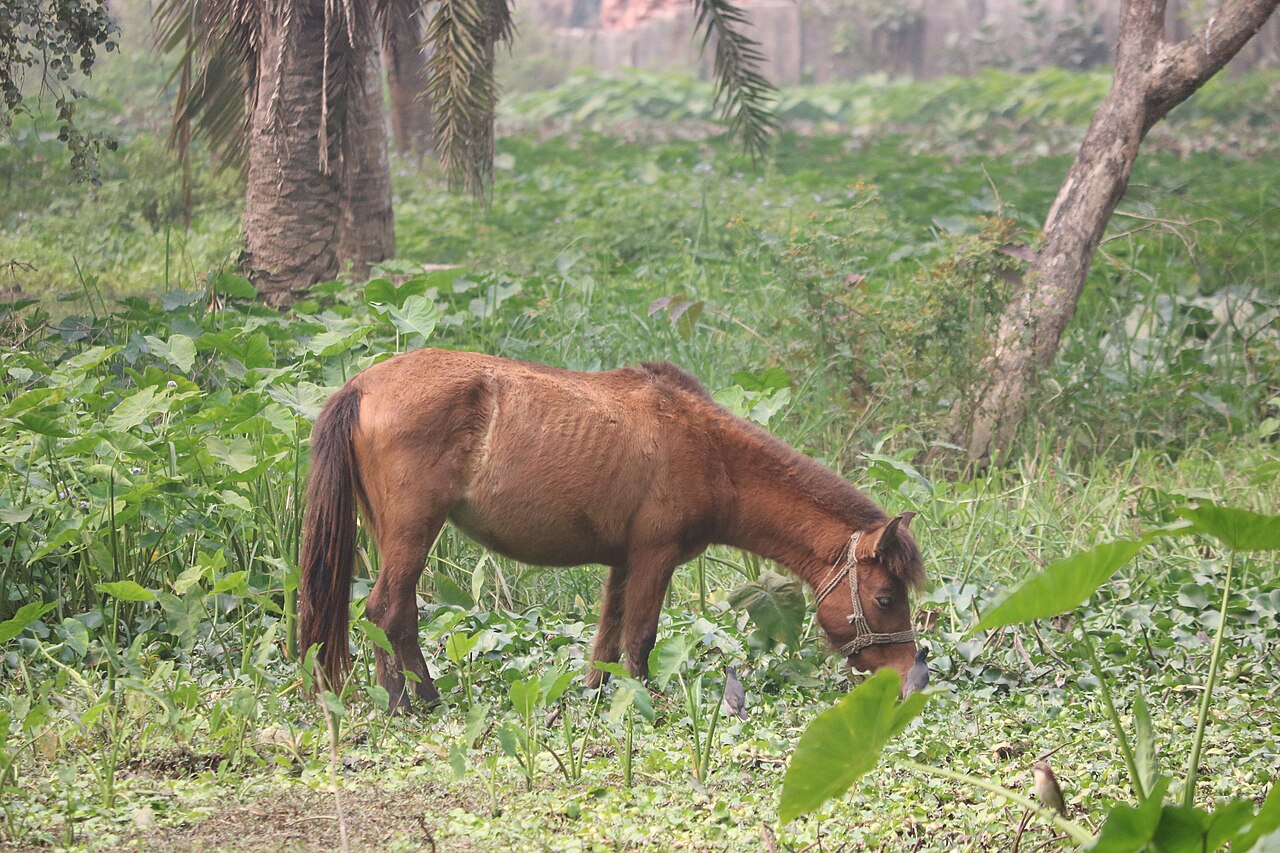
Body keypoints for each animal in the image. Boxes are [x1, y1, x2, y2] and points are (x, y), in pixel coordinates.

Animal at [298, 348, 926, 710]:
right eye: (885, 597)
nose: (912, 681)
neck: (708, 451)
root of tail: (362, 385)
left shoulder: (624, 562)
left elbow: (607, 637)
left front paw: (599, 697)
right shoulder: (654, 557)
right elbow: (640, 636)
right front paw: (646, 701)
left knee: (396, 614)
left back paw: (415, 695)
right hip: (413, 531)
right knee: (386, 610)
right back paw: (406, 702)